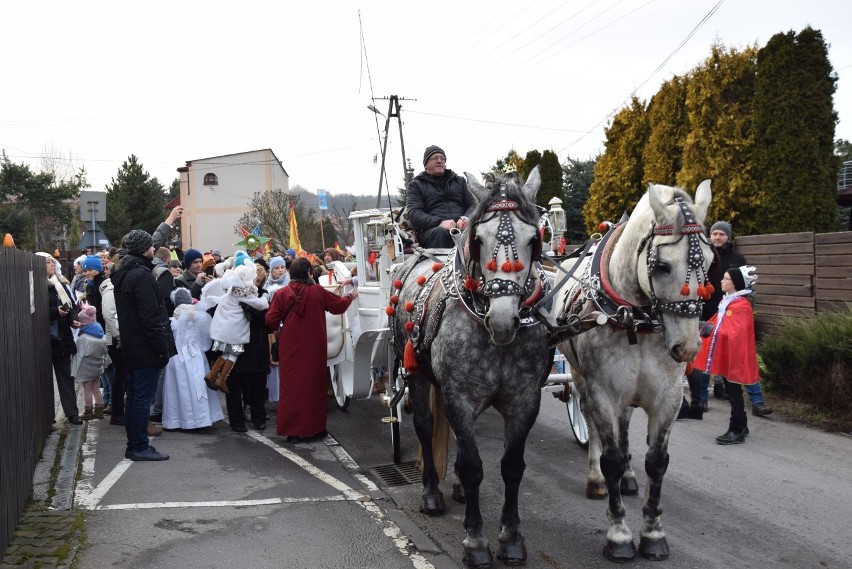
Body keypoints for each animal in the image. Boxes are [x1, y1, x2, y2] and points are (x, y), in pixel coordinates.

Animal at [392, 166, 552, 564]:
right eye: (478, 239)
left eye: (534, 239)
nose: (503, 320)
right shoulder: (458, 396)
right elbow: (471, 465)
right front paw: (475, 541)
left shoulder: (525, 400)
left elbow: (511, 467)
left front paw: (511, 537)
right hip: (415, 371)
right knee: (425, 425)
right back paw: (433, 493)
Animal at [552, 181, 712, 560]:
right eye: (663, 265)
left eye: (710, 261)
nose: (688, 347)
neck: (634, 319)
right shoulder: (602, 391)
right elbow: (609, 456)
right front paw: (620, 535)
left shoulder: (669, 397)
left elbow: (657, 461)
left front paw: (653, 533)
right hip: (581, 379)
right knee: (593, 424)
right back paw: (597, 480)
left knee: (624, 428)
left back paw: (626, 476)